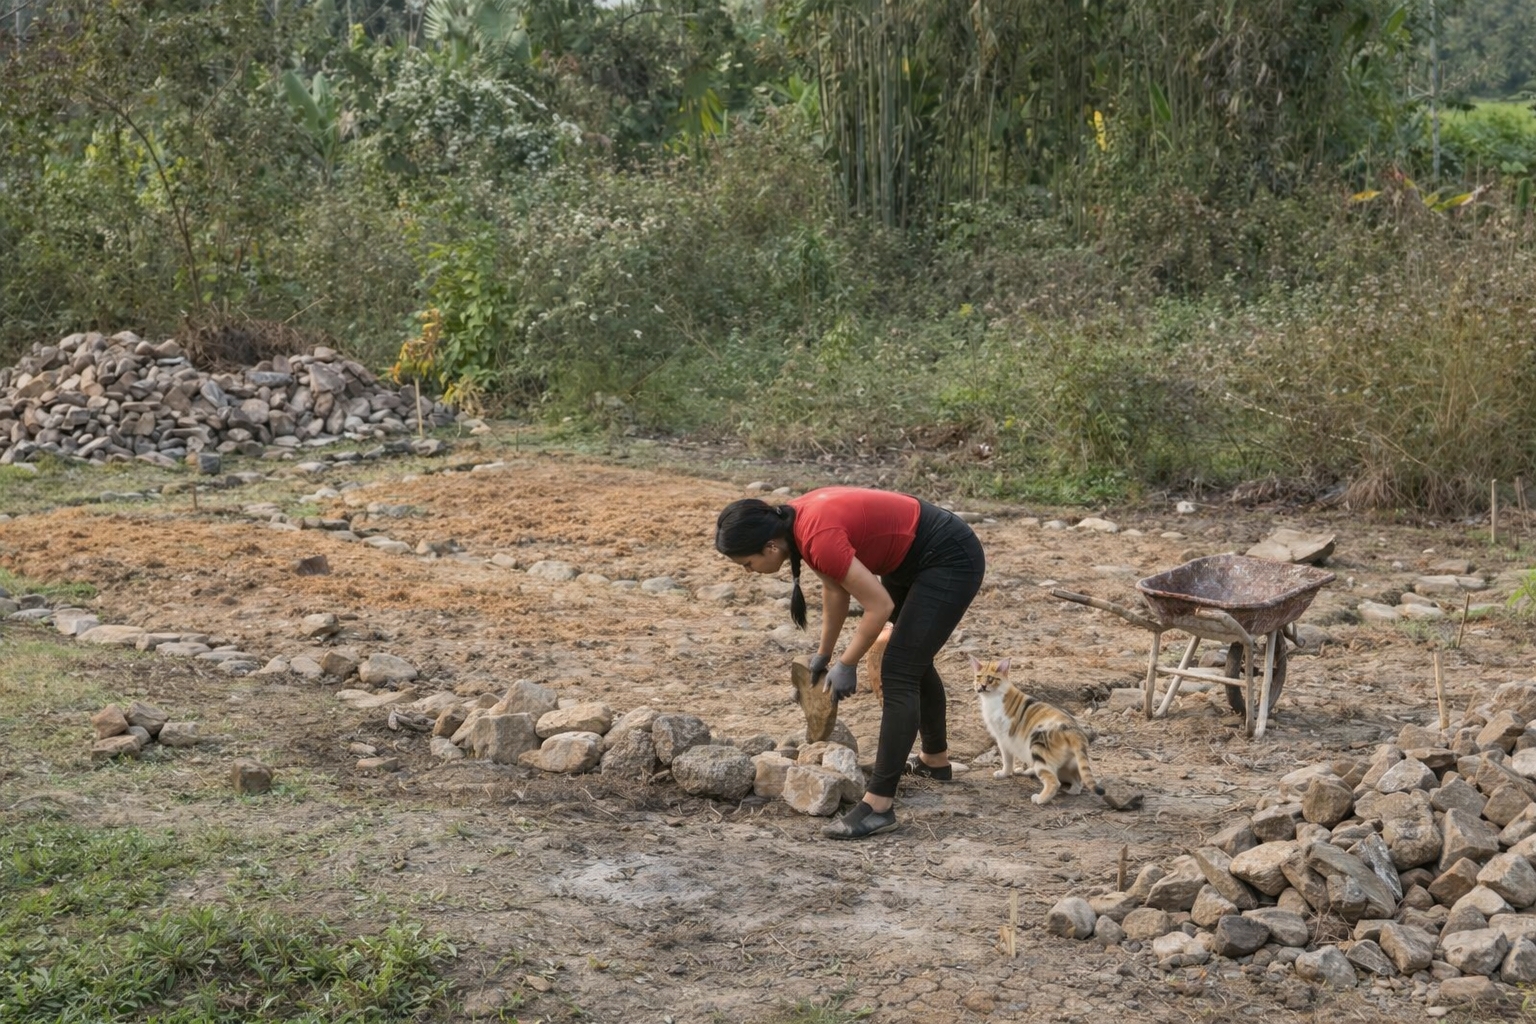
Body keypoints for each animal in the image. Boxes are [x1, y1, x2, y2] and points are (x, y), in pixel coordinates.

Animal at [970, 656, 1104, 805]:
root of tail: (1073, 731)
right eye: (978, 677)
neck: (993, 697)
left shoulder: (1003, 739)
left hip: (1038, 750)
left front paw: (1004, 773)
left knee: (1054, 782)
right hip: (1069, 764)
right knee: (1078, 781)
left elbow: (1007, 760)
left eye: (991, 679)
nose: (982, 686)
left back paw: (1039, 799)